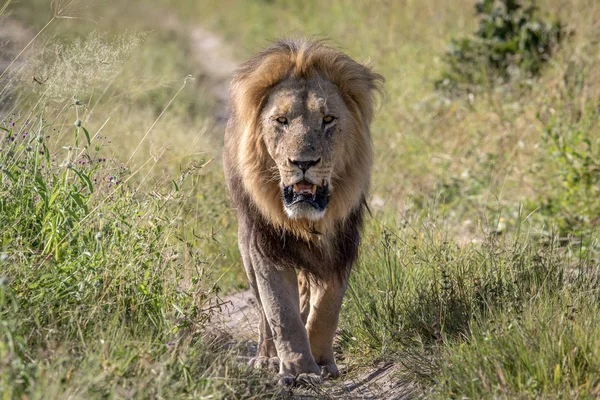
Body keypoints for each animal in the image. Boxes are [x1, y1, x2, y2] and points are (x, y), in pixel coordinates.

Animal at [223, 38, 382, 384]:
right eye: (281, 121)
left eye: (328, 119)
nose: (303, 163)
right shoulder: (264, 243)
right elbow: (280, 311)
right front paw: (298, 371)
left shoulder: (341, 244)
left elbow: (327, 308)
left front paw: (321, 362)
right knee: (263, 313)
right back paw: (267, 358)